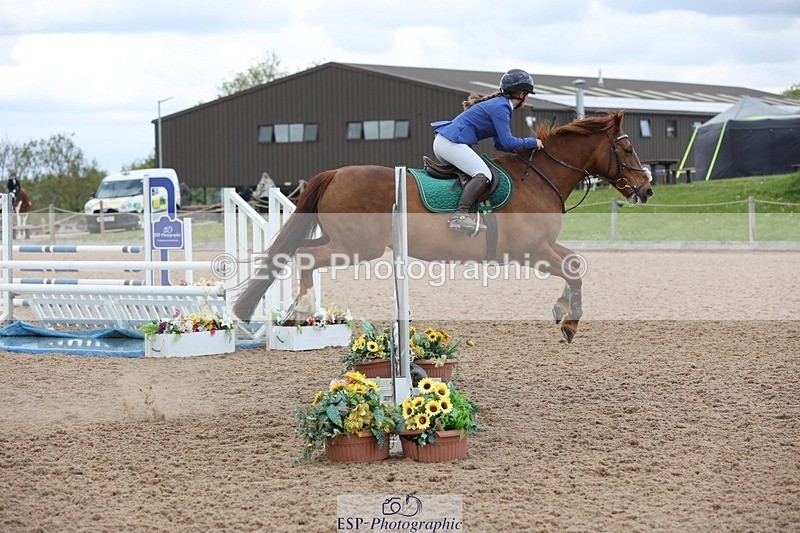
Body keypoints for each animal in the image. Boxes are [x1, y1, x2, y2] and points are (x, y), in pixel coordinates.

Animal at [233, 110, 653, 343]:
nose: (647, 189)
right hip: (359, 247)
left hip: (340, 238)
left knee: (296, 253)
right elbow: (573, 269)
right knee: (305, 256)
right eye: (628, 149)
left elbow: (576, 264)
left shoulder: (544, 247)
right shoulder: (529, 252)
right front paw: (570, 324)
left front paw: (561, 310)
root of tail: (336, 172)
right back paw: (303, 311)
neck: (540, 178)